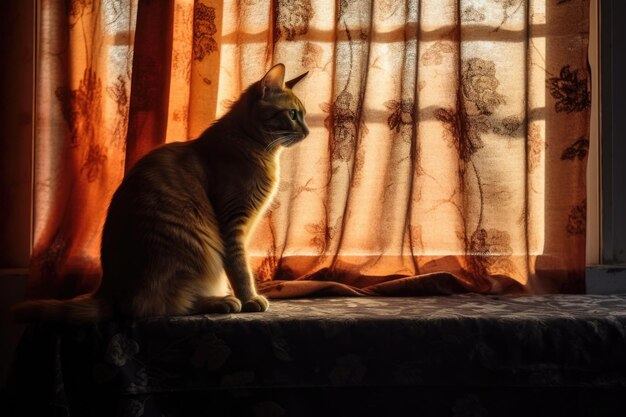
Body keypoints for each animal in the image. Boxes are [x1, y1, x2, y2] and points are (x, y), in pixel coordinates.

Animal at [12, 63, 310, 322]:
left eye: (304, 115)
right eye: (293, 115)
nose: (308, 131)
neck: (255, 147)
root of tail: (108, 290)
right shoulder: (233, 224)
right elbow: (240, 269)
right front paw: (250, 298)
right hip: (191, 249)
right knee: (156, 306)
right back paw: (220, 301)